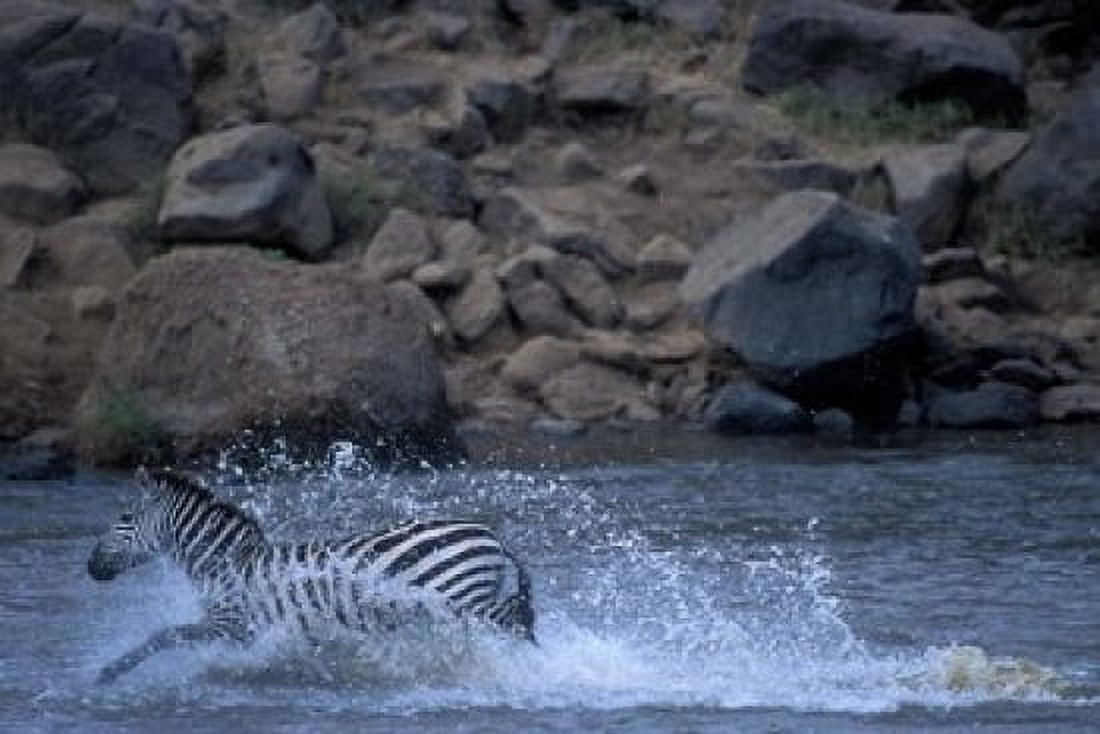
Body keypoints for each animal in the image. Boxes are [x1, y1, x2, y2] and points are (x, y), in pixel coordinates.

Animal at [87, 468, 535, 683]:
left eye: (124, 517)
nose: (90, 569)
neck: (226, 562)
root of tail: (491, 534)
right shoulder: (246, 631)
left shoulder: (232, 623)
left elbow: (165, 635)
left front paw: (110, 673)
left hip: (460, 597)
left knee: (512, 621)